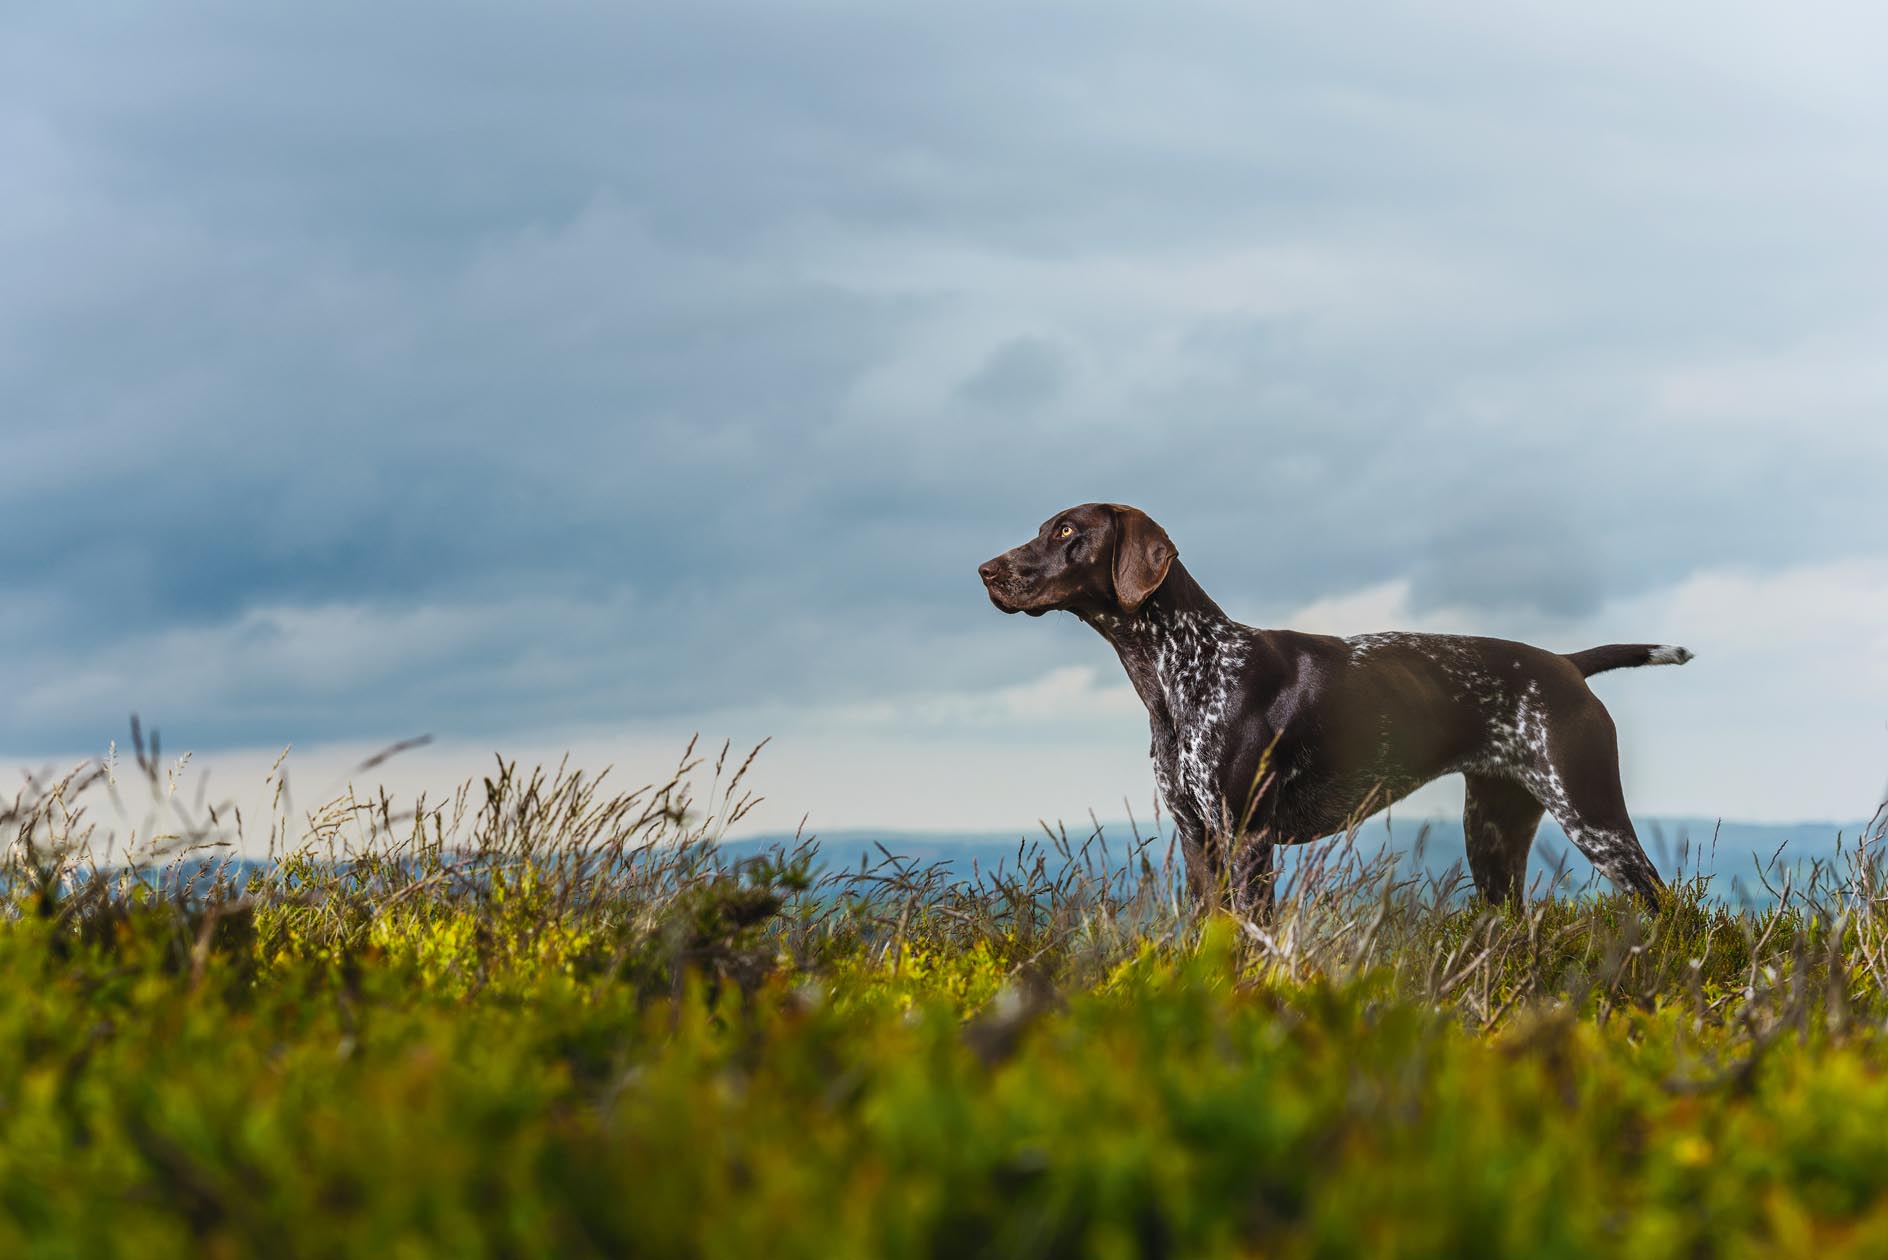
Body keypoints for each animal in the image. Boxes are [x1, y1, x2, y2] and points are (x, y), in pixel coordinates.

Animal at [981, 502, 1691, 906]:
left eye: (1068, 531)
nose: (987, 571)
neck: (1187, 666)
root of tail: (1566, 664)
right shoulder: (1197, 840)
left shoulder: (1246, 839)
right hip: (1493, 834)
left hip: (1594, 818)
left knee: (1670, 908)